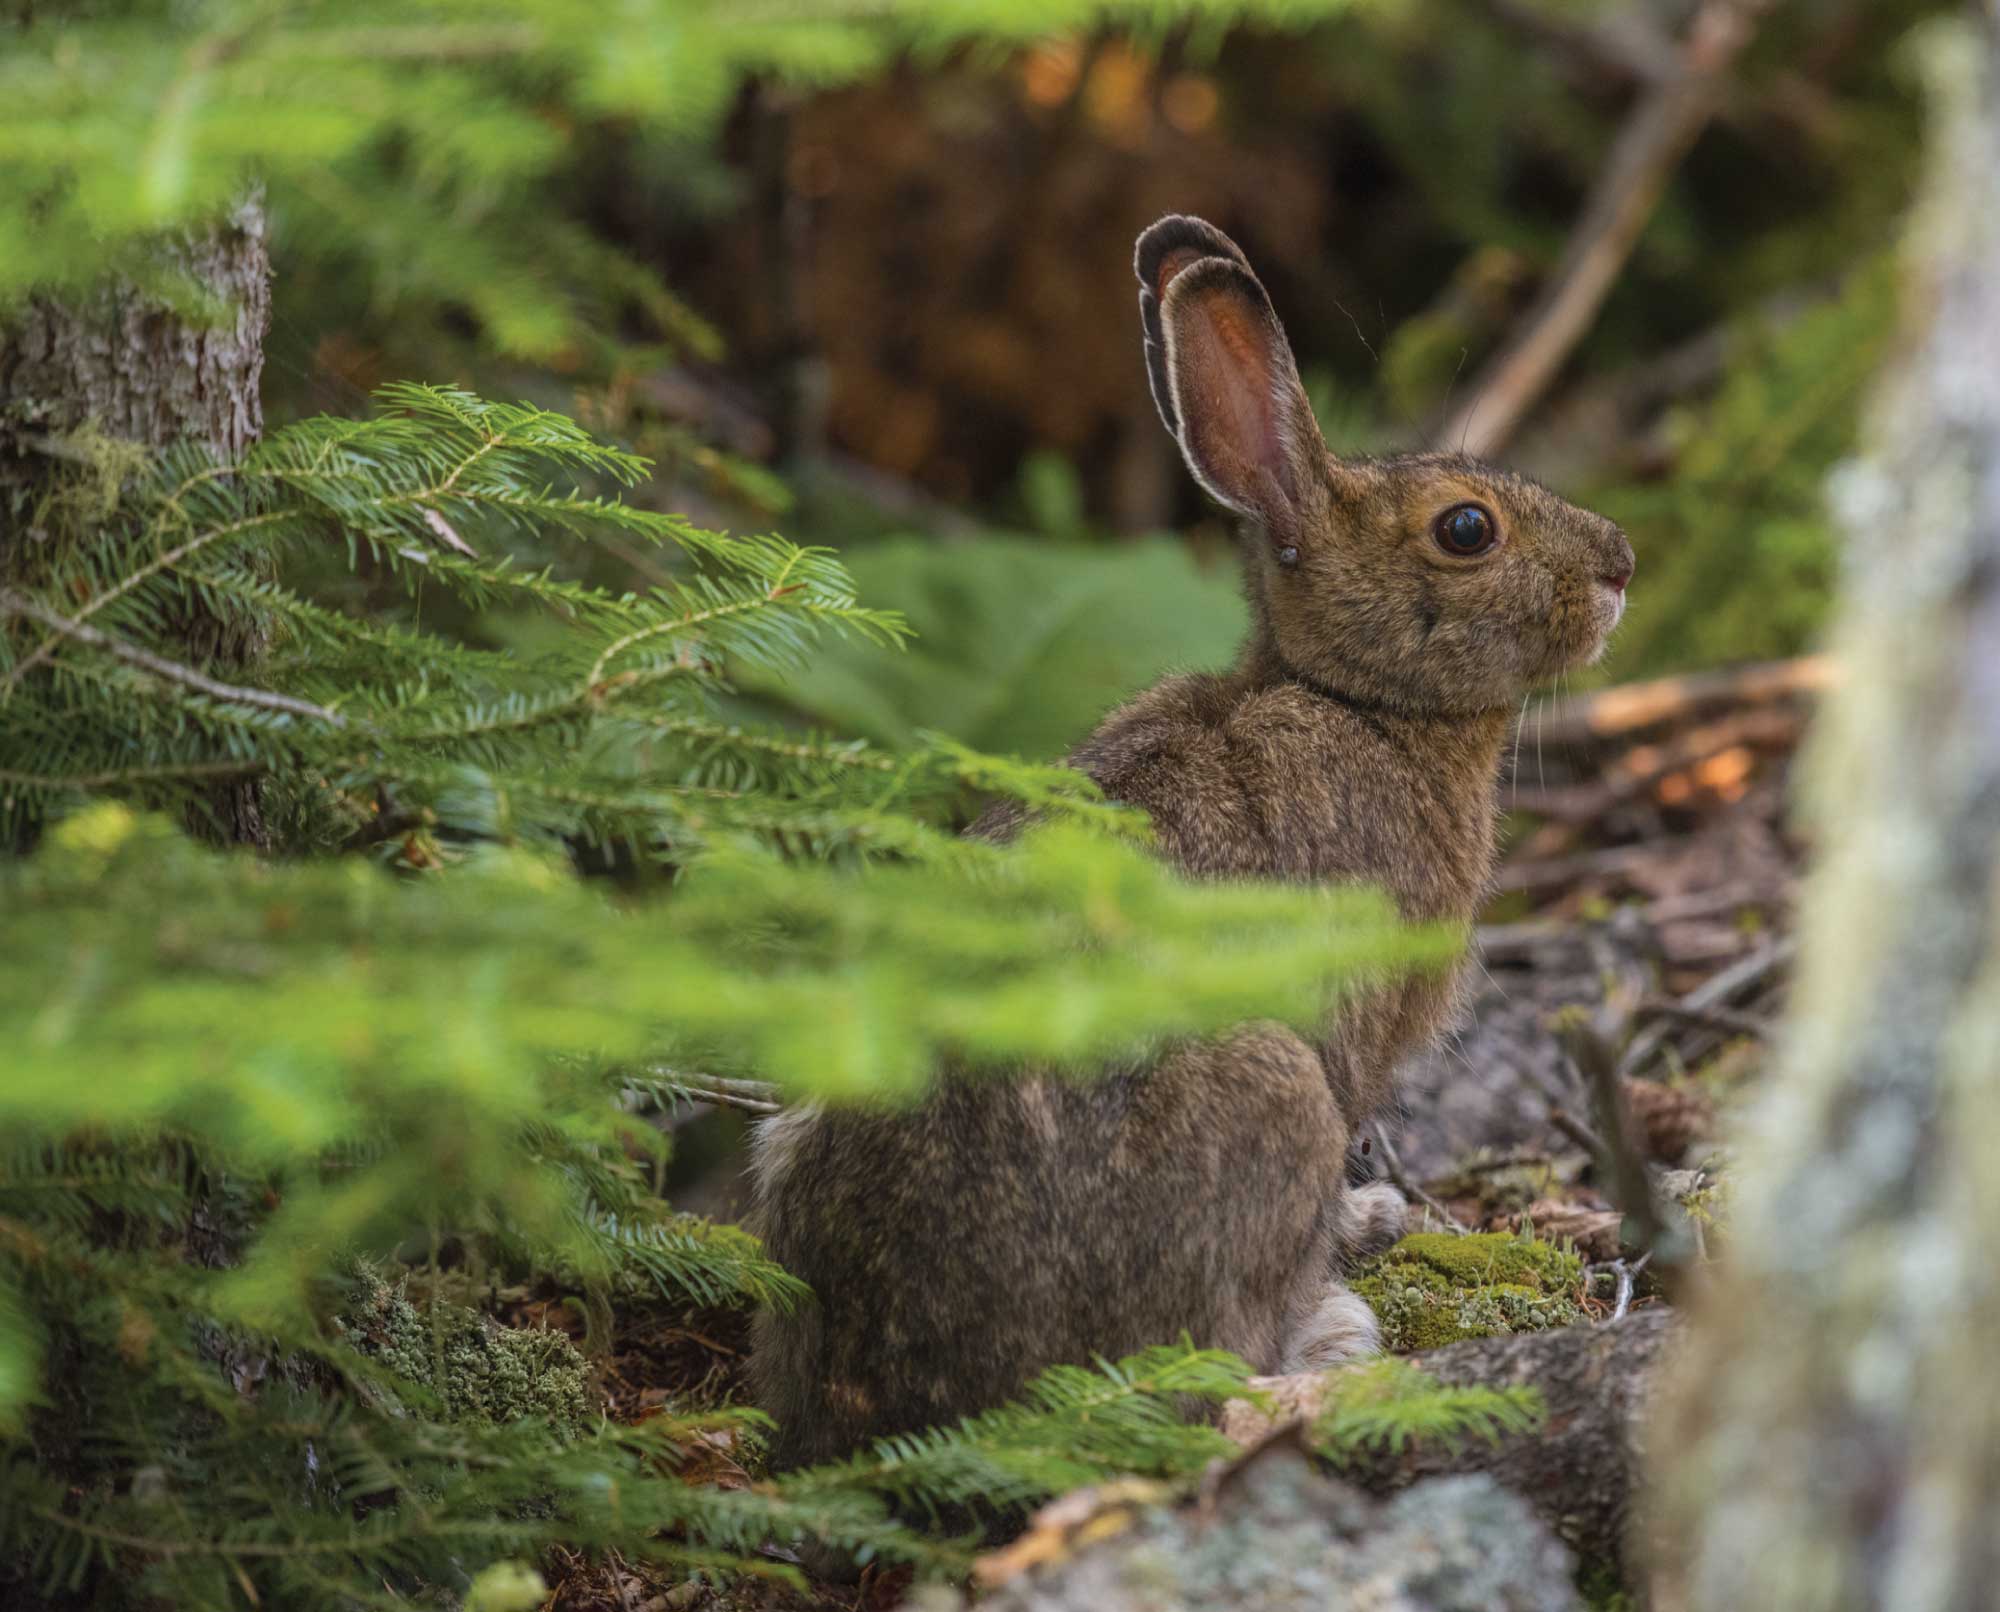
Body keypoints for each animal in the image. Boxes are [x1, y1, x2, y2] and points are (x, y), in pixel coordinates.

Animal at [748, 215, 1634, 1484]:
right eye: (1466, 528)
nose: (1619, 563)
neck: (1359, 701)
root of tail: (907, 1406)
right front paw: (1363, 1232)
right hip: (1267, 1089)